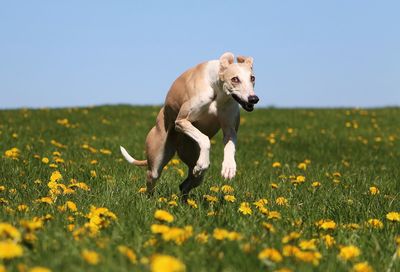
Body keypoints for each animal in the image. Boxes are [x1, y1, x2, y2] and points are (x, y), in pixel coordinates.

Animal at [120, 52, 260, 199]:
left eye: (252, 78)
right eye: (235, 79)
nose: (253, 99)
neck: (216, 88)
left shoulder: (230, 129)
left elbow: (229, 145)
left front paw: (229, 167)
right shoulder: (181, 121)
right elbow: (204, 138)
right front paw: (204, 163)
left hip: (193, 162)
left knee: (187, 182)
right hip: (157, 159)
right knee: (152, 177)